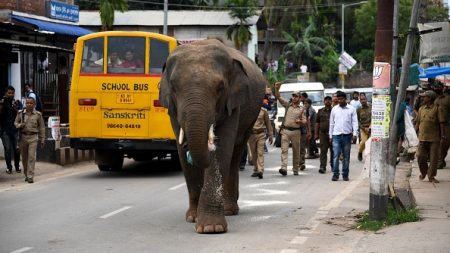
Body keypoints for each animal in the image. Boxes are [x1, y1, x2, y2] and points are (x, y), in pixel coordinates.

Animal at [160, 38, 268, 233]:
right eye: (173, 87)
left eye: (220, 87)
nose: (210, 142)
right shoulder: (172, 110)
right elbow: (181, 151)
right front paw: (193, 218)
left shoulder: (232, 103)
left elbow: (222, 148)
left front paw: (211, 228)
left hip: (252, 114)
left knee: (236, 152)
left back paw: (229, 210)